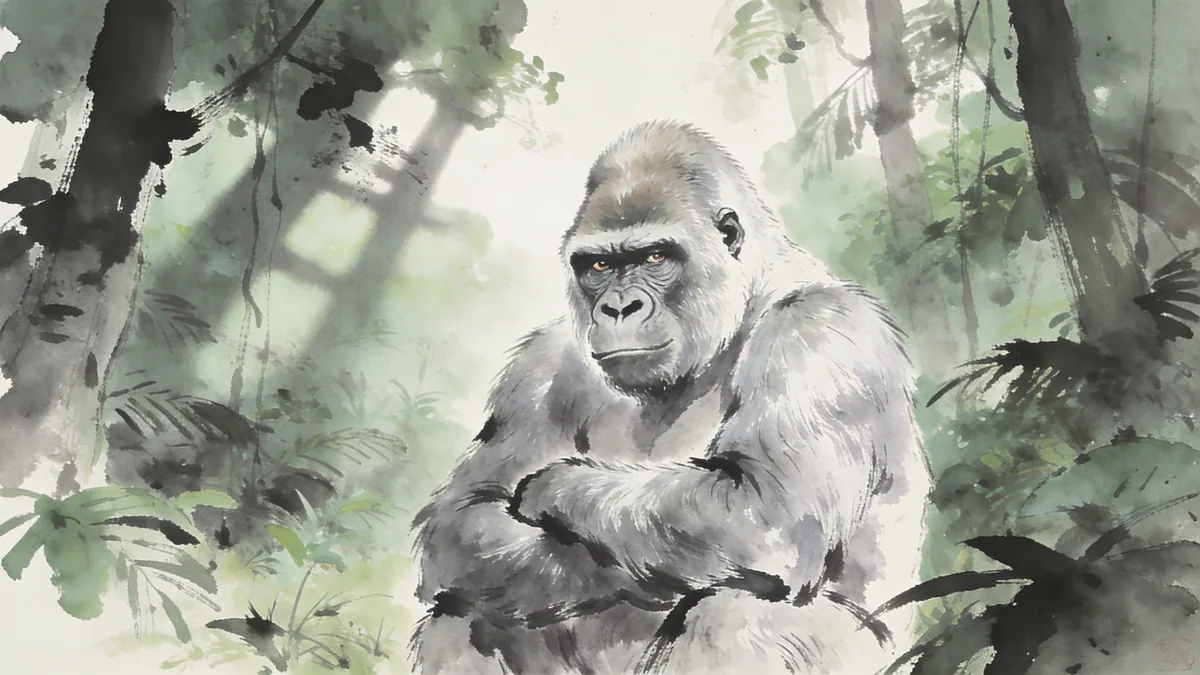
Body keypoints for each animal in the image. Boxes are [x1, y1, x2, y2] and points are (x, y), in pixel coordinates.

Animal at [407, 120, 931, 675]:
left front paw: (555, 492)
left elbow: (765, 511)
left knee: (737, 612)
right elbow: (464, 517)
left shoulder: (820, 328)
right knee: (462, 609)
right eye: (598, 265)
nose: (619, 308)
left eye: (655, 257)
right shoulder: (538, 363)